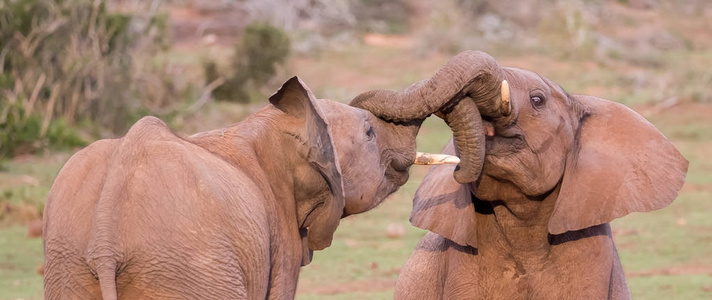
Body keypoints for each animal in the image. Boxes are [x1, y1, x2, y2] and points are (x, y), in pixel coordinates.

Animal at [43, 73, 484, 300]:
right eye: (370, 133)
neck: (273, 123)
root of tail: (106, 240)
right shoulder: (281, 241)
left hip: (68, 267)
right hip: (188, 269)